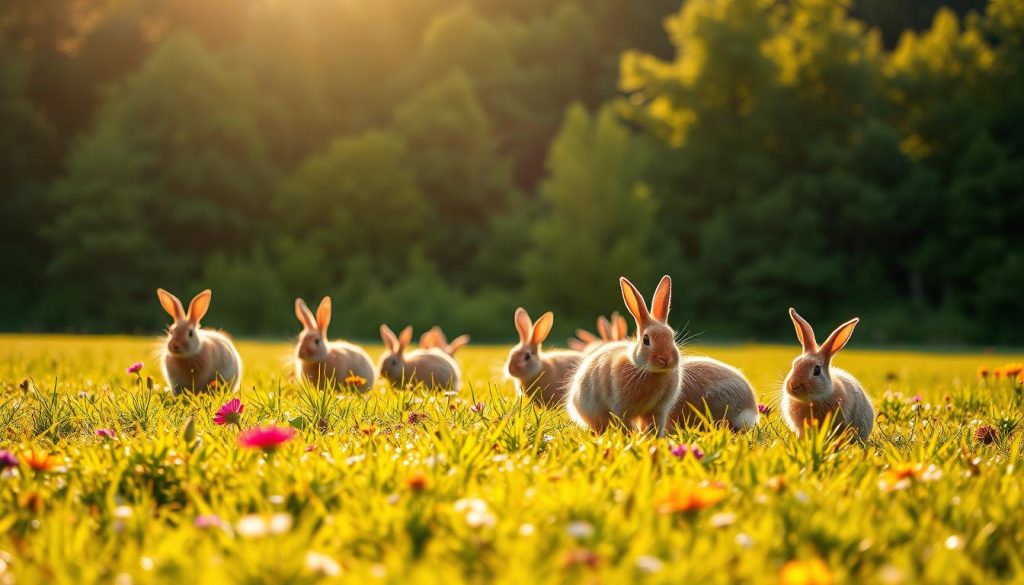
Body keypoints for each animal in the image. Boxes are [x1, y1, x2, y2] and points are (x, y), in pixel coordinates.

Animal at [566, 276, 682, 436]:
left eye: (672, 336)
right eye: (646, 340)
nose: (666, 359)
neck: (648, 371)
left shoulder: (657, 411)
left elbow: (654, 425)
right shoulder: (622, 408)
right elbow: (625, 423)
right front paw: (630, 437)